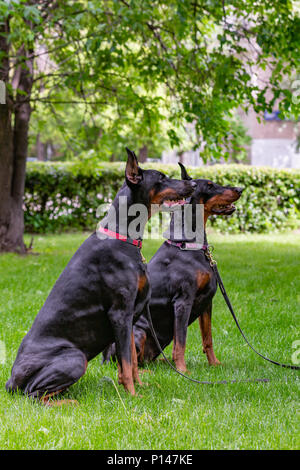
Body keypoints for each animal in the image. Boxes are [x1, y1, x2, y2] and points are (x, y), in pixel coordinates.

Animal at [6, 151, 197, 404]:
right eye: (162, 178)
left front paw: (139, 386)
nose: (193, 184)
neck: (123, 236)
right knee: (33, 395)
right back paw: (70, 402)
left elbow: (131, 361)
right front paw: (132, 396)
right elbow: (125, 360)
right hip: (75, 358)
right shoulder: (120, 313)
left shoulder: (132, 316)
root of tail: (10, 380)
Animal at [103, 165, 244, 374]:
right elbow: (181, 341)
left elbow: (207, 338)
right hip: (138, 331)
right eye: (210, 186)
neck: (188, 245)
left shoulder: (207, 302)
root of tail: (102, 358)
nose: (240, 189)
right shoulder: (183, 301)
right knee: (124, 361)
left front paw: (215, 364)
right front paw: (183, 371)